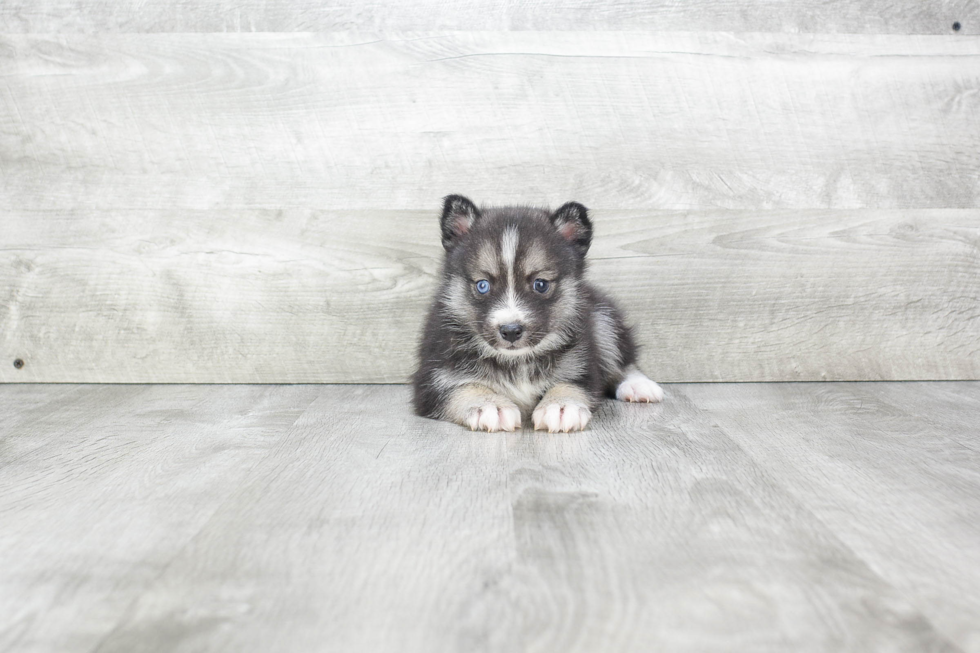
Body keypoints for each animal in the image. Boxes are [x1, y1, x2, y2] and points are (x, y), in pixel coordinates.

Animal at [410, 192, 664, 432]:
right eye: (483, 285)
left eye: (540, 284)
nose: (511, 331)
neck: (516, 362)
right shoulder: (431, 378)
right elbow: (462, 387)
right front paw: (489, 404)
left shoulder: (584, 365)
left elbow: (570, 383)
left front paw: (561, 405)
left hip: (602, 317)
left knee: (623, 359)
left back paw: (638, 385)